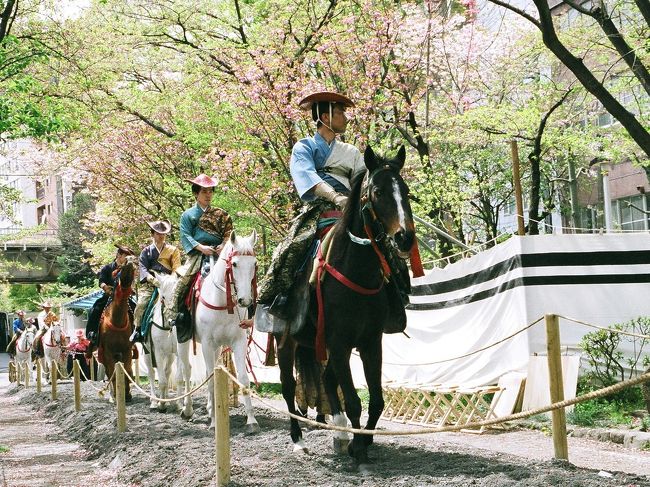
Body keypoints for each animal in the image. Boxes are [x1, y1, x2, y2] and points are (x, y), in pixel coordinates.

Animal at [96, 258, 135, 402]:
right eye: (120, 269)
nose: (130, 262)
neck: (117, 321)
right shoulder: (108, 351)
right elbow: (112, 371)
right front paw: (118, 396)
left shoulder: (127, 350)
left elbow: (128, 370)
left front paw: (127, 394)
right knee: (109, 372)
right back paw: (113, 394)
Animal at [140, 272, 191, 418]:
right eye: (163, 297)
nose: (173, 319)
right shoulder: (157, 352)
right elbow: (161, 380)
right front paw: (161, 405)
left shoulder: (178, 352)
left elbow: (178, 378)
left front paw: (179, 404)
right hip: (147, 353)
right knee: (152, 374)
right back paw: (154, 401)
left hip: (170, 355)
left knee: (167, 372)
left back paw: (167, 398)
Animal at [177, 231, 260, 432]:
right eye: (234, 264)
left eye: (254, 264)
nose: (245, 300)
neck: (222, 303)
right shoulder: (207, 344)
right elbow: (210, 379)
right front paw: (215, 423)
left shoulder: (237, 342)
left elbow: (242, 378)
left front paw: (251, 421)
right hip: (183, 341)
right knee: (186, 370)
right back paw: (187, 409)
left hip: (217, 348)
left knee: (209, 372)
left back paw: (209, 409)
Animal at [274, 145, 416, 472]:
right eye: (378, 192)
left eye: (405, 190)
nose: (405, 237)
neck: (356, 271)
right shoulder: (338, 342)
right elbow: (353, 401)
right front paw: (359, 450)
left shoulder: (369, 341)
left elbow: (376, 401)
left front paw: (362, 441)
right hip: (285, 340)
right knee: (288, 387)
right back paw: (298, 440)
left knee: (326, 379)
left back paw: (339, 434)